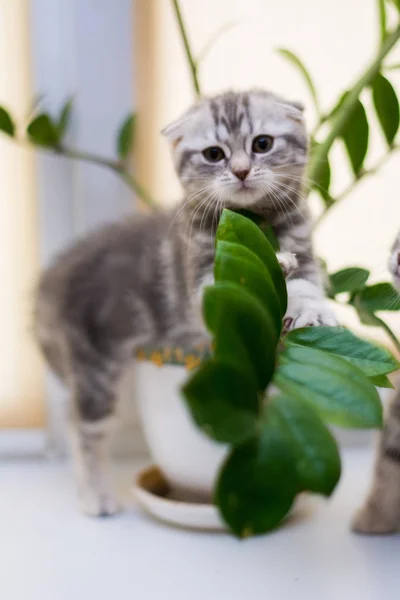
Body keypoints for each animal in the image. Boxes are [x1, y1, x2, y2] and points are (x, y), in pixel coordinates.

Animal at [34, 89, 336, 516]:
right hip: (95, 362)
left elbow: (308, 285)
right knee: (85, 425)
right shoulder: (199, 282)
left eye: (262, 144)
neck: (255, 219)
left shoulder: (305, 245)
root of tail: (48, 281)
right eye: (214, 154)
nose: (241, 171)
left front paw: (317, 309)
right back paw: (96, 496)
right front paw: (276, 265)